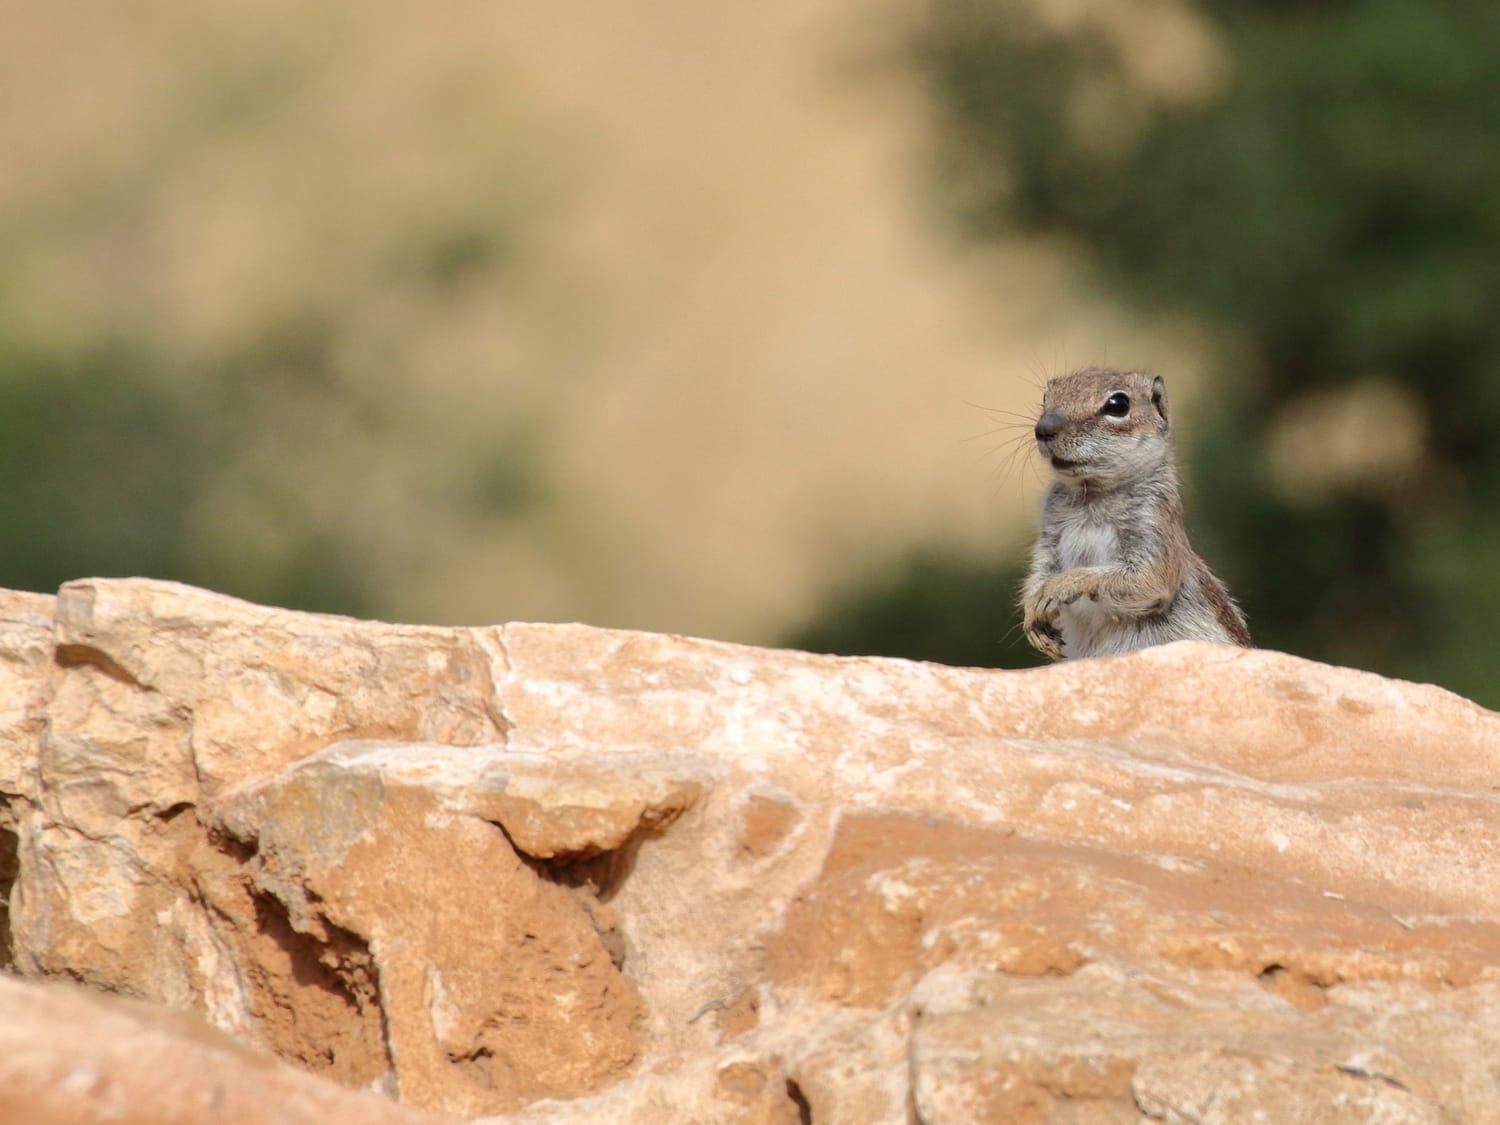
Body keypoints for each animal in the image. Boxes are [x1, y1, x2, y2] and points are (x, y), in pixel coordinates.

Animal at [1021, 367, 1251, 661]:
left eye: (1118, 405)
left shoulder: (1154, 525)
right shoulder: (1049, 535)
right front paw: (1032, 612)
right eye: (1045, 396)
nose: (1043, 429)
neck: (1092, 497)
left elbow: (1145, 580)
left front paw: (1060, 586)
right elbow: (1040, 571)